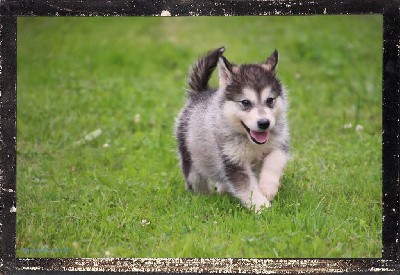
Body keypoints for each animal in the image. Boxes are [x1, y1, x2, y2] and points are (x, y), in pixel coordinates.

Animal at [174, 47, 288, 213]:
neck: (250, 142)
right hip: (192, 160)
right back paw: (204, 197)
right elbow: (248, 188)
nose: (264, 123)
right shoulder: (233, 161)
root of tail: (200, 94)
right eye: (245, 102)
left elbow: (275, 160)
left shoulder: (279, 144)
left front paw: (268, 188)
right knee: (196, 181)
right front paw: (263, 208)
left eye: (270, 100)